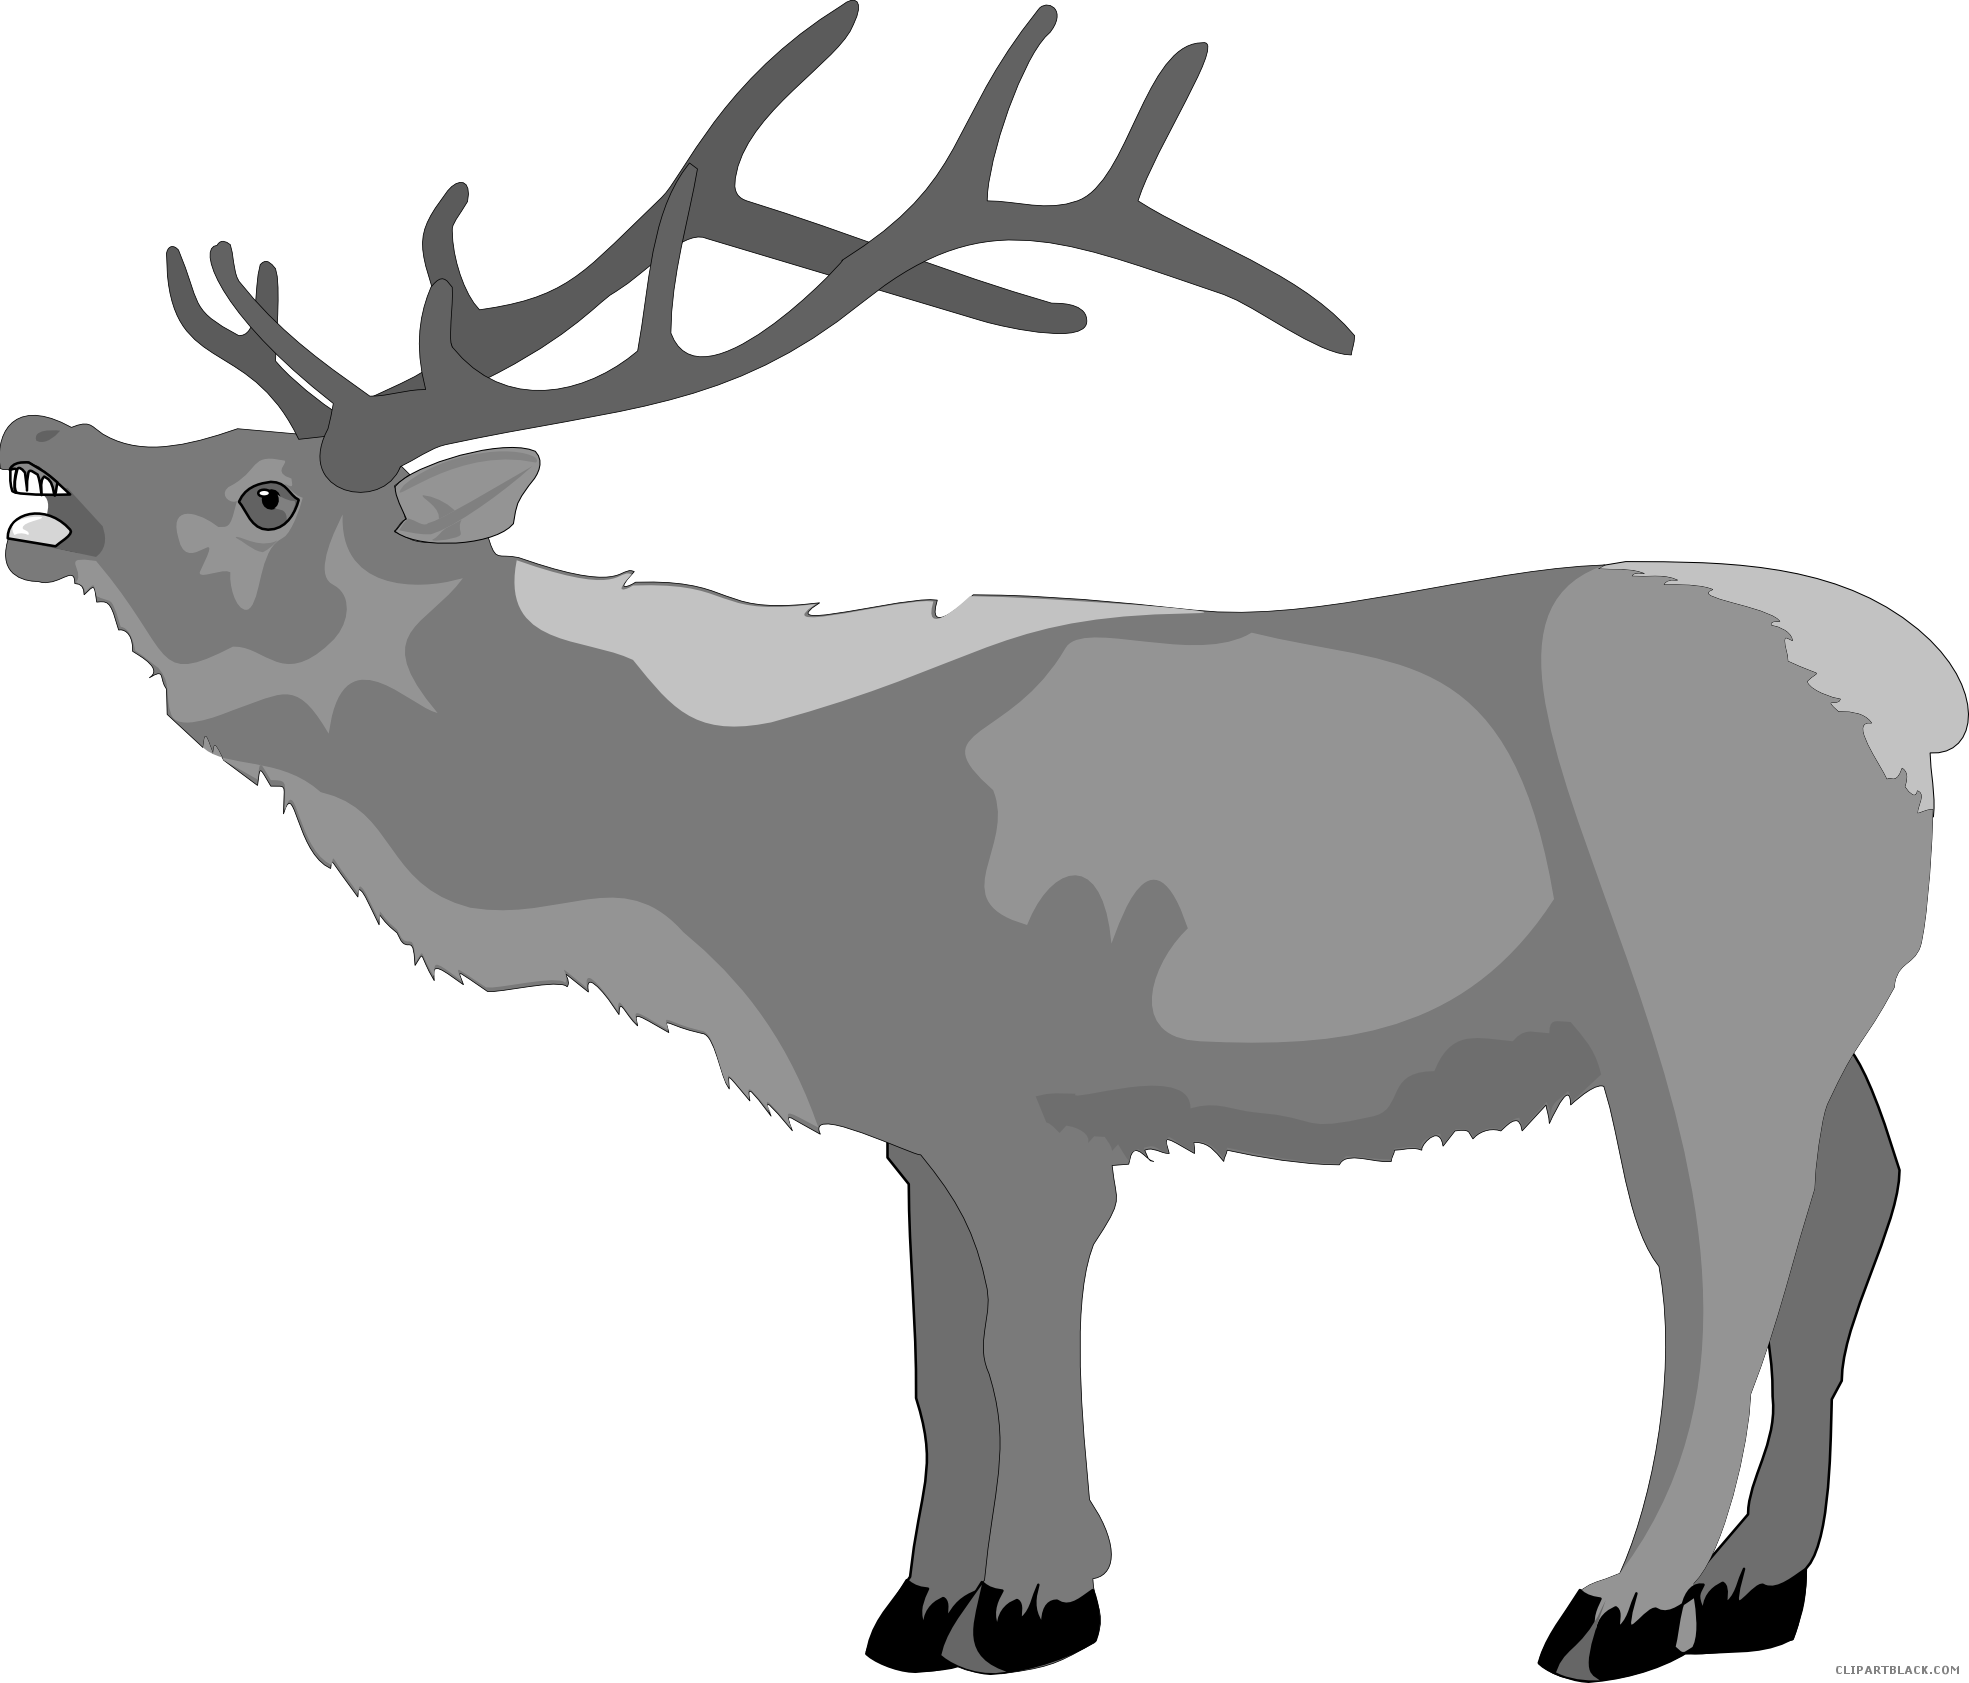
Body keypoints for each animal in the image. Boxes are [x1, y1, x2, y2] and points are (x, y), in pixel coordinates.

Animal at [5, 6, 1961, 1677]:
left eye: (267, 489)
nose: (39, 429)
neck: (709, 874)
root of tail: (1920, 691)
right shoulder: (911, 1115)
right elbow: (943, 1356)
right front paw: (920, 1592)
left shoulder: (1028, 1103)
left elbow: (1024, 1335)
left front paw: (1032, 1600)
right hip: (1821, 1007)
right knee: (1854, 1194)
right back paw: (1757, 1577)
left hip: (1701, 999)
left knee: (1724, 1242)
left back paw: (1629, 1601)